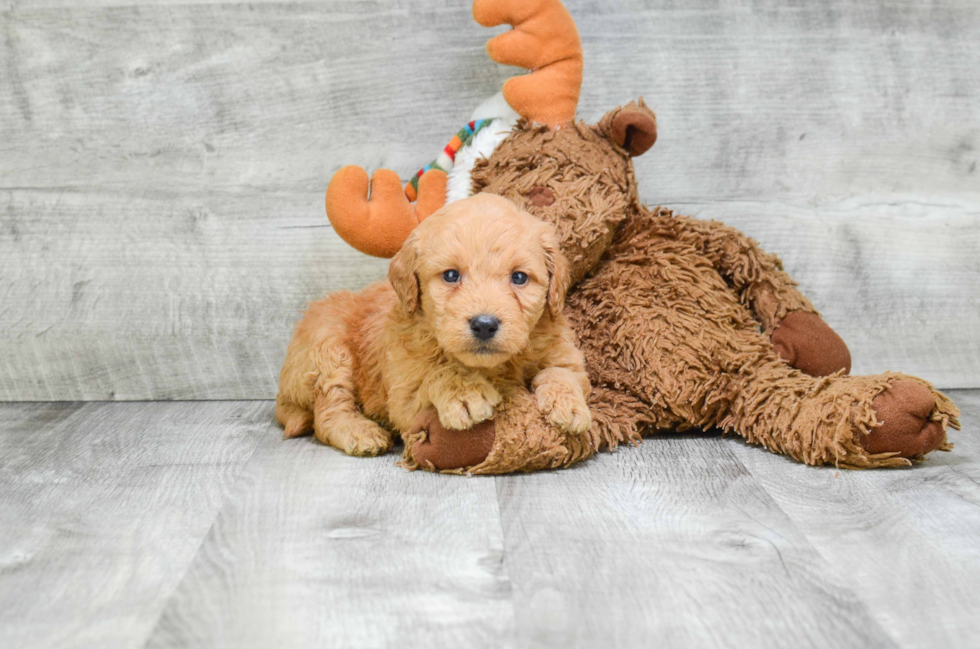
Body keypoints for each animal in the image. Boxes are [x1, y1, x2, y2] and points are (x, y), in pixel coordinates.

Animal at [280, 192, 592, 456]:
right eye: (451, 275)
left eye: (519, 277)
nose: (484, 324)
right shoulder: (402, 399)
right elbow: (438, 374)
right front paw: (464, 392)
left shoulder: (564, 353)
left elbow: (561, 373)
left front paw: (569, 404)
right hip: (328, 347)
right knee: (328, 412)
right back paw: (359, 432)